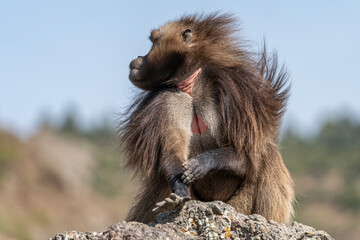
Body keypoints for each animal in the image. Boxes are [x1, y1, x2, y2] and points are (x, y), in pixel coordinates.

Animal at [119, 12, 294, 223]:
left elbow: (248, 156)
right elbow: (172, 152)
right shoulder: (169, 99)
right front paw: (178, 194)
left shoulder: (236, 95)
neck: (192, 87)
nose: (137, 59)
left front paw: (204, 162)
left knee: (267, 155)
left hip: (239, 208)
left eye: (153, 42)